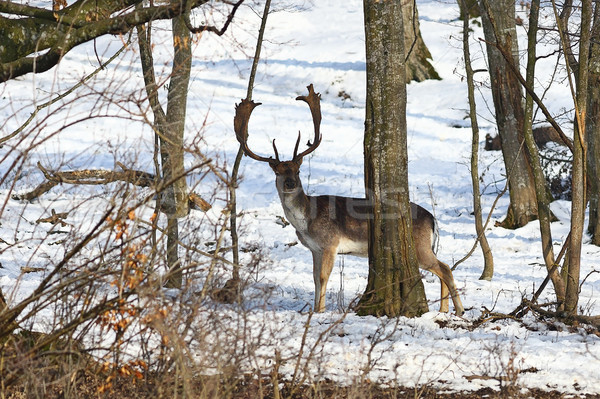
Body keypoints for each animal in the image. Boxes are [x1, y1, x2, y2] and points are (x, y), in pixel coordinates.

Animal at [233, 86, 464, 318]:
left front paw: (320, 311)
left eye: (297, 170)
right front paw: (315, 309)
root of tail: (432, 219)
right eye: (278, 172)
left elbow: (323, 277)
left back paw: (459, 310)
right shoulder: (315, 248)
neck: (306, 221)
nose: (290, 183)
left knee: (445, 268)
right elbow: (315, 279)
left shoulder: (330, 243)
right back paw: (444, 310)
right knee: (442, 269)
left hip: (420, 245)